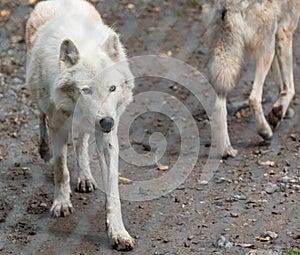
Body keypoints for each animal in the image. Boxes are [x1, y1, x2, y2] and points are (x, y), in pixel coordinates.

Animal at [25, 0, 135, 251]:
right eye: (86, 90)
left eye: (112, 88)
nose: (107, 122)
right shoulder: (58, 127)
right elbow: (61, 170)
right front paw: (61, 203)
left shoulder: (107, 136)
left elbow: (113, 191)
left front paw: (118, 233)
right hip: (38, 97)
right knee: (41, 119)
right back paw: (44, 150)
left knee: (82, 143)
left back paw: (85, 178)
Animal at [205, 0, 300, 156]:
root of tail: (227, 5)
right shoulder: (285, 32)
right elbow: (290, 88)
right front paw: (278, 113)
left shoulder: (277, 38)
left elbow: (281, 84)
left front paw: (282, 112)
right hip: (265, 52)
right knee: (253, 98)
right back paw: (265, 132)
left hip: (227, 59)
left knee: (218, 105)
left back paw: (226, 150)